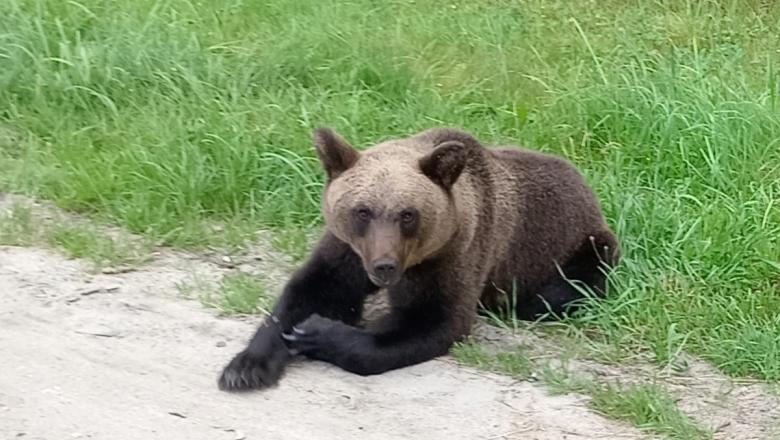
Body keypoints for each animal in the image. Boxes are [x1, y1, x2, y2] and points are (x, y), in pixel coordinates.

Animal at [216, 127, 620, 392]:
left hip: (580, 246)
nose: (384, 266)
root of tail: (584, 182)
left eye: (408, 214)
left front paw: (318, 332)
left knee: (567, 287)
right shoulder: (348, 251)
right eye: (362, 211)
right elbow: (311, 289)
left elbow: (432, 319)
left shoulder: (452, 256)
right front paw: (245, 368)